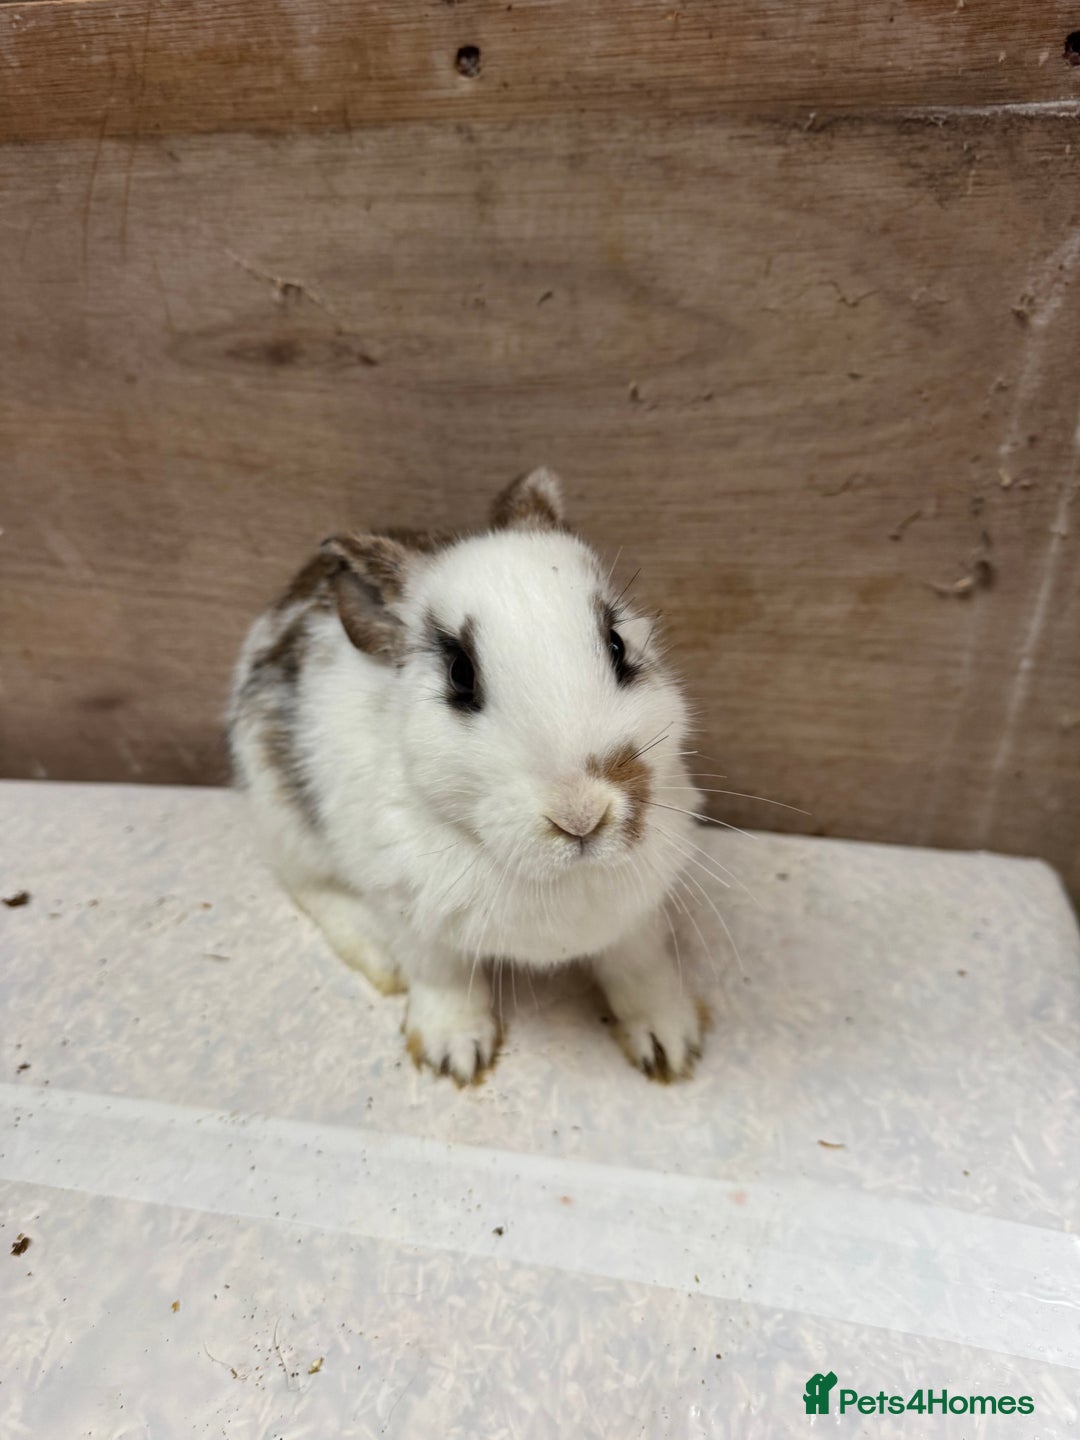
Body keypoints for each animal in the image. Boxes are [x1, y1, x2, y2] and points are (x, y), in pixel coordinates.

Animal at [228, 468, 707, 1084]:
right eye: (460, 674)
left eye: (618, 644)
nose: (582, 815)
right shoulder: (411, 915)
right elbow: (443, 980)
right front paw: (455, 1052)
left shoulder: (638, 920)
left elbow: (642, 969)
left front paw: (669, 1043)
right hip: (282, 815)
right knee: (310, 889)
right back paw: (382, 962)